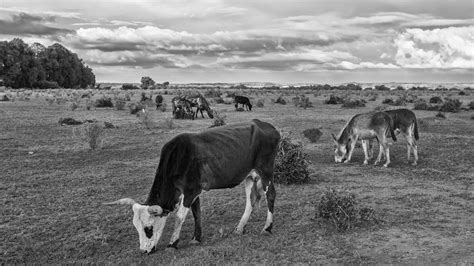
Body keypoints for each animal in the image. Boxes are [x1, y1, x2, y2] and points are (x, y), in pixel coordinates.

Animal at [105, 119, 280, 254]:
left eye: (148, 229)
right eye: (136, 227)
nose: (143, 251)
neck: (178, 158)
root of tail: (265, 125)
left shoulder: (190, 191)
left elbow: (179, 217)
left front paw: (172, 243)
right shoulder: (193, 191)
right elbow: (197, 213)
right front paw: (196, 238)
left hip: (266, 172)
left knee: (270, 195)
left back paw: (267, 228)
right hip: (249, 176)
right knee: (250, 201)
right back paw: (240, 228)